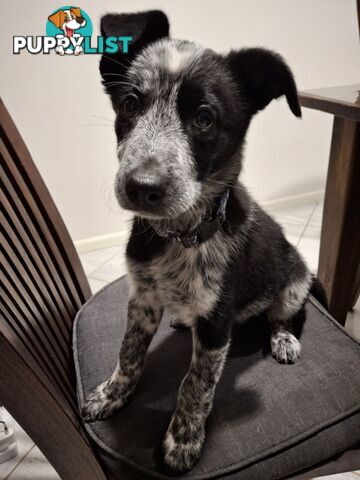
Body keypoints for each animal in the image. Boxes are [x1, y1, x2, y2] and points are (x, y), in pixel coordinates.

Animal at [82, 9, 326, 474]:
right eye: (130, 104)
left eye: (205, 117)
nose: (142, 187)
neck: (180, 235)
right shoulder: (142, 297)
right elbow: (129, 352)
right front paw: (112, 394)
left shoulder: (216, 324)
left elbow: (196, 383)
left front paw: (182, 440)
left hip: (294, 282)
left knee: (285, 315)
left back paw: (283, 338)